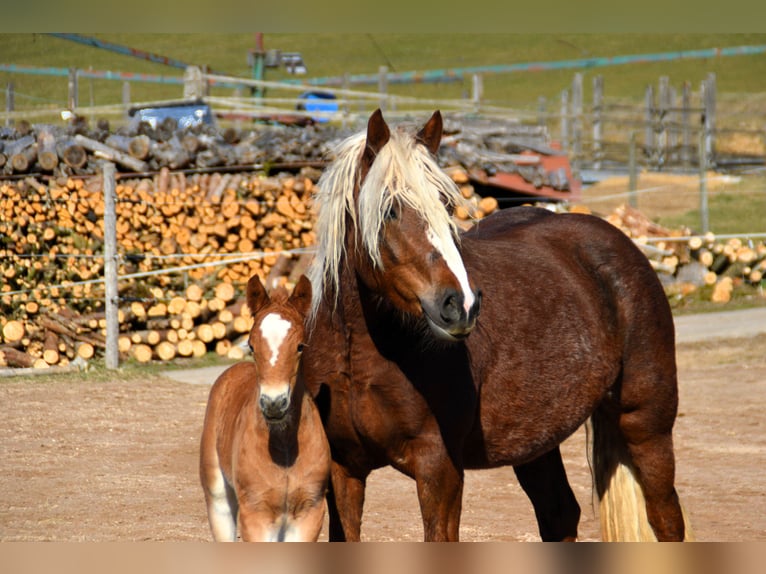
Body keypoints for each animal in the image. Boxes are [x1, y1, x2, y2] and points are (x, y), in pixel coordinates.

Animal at [199, 275, 330, 541]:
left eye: (300, 346)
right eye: (251, 345)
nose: (274, 403)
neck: (285, 450)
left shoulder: (310, 512)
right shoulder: (256, 514)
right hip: (218, 499)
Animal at [300, 108, 692, 541]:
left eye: (447, 205)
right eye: (389, 209)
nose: (461, 305)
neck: (361, 355)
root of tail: (621, 245)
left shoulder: (439, 469)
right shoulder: (344, 470)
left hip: (646, 425)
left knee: (666, 518)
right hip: (538, 441)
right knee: (560, 513)